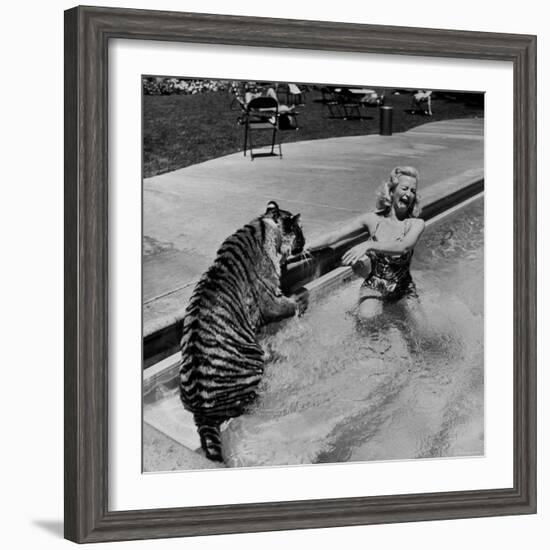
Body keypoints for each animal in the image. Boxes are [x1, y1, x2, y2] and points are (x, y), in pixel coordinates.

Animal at [180, 201, 306, 464]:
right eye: (300, 234)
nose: (305, 244)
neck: (263, 226)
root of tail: (201, 413)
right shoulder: (270, 300)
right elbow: (290, 304)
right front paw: (300, 302)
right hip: (252, 364)